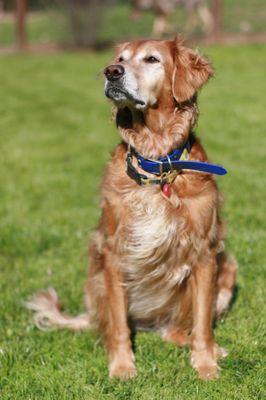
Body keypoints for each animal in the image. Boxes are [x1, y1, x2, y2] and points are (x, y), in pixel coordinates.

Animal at [28, 38, 238, 382]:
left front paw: (206, 364)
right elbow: (118, 326)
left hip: (227, 266)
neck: (157, 166)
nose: (111, 71)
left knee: (178, 330)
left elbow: (203, 322)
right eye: (120, 59)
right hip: (97, 283)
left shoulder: (205, 253)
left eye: (152, 59)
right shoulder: (115, 252)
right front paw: (122, 366)